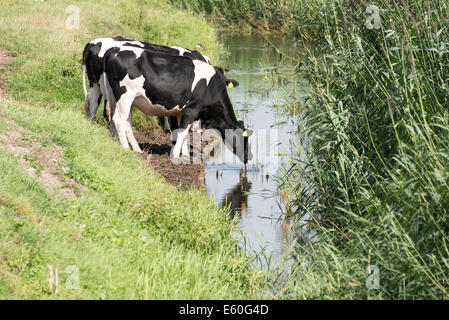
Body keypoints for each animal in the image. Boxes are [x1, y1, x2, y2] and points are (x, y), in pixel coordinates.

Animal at [101, 47, 252, 168]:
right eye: (244, 138)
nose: (249, 157)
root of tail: (114, 50)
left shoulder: (180, 113)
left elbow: (182, 133)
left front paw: (183, 155)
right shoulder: (191, 110)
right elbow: (183, 133)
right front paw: (175, 156)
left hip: (120, 98)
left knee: (124, 121)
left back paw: (135, 148)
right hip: (125, 95)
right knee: (119, 120)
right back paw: (126, 148)